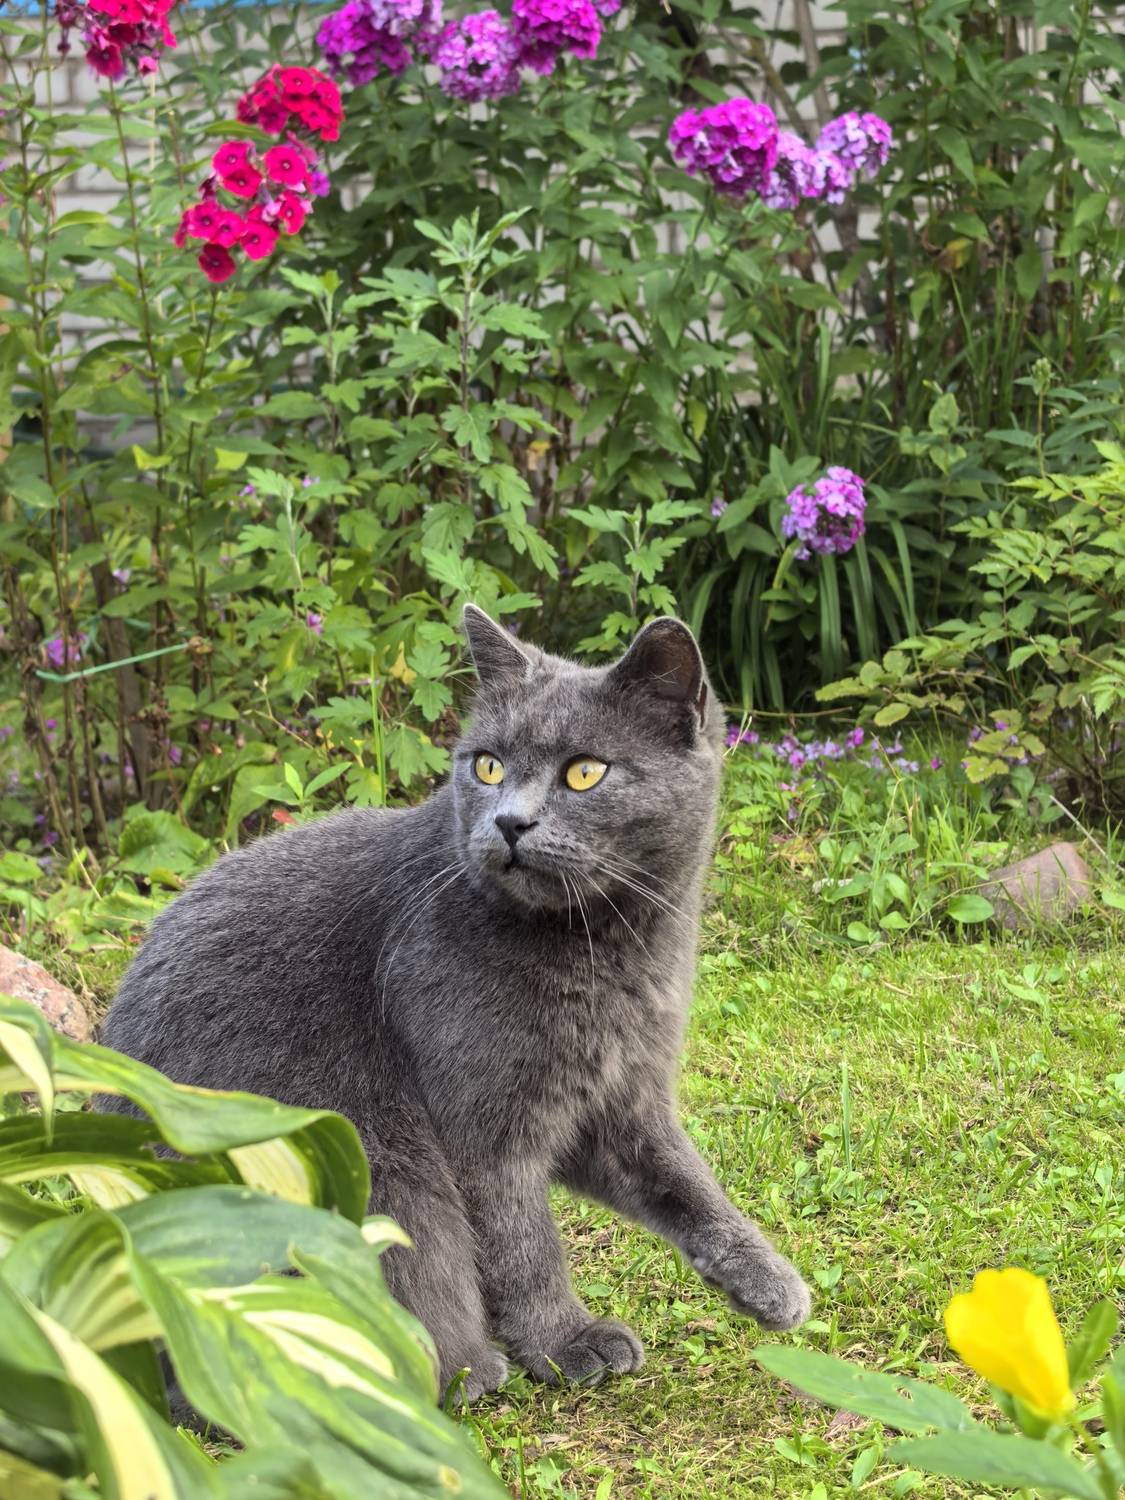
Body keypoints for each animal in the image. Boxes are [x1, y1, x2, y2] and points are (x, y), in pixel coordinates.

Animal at [102, 606, 811, 1399]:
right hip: (371, 1162)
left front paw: (768, 1282)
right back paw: (463, 1371)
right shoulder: (481, 1124)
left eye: (584, 772)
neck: (607, 950)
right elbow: (521, 1242)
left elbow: (684, 1180)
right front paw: (564, 1341)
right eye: (488, 765)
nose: (508, 822)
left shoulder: (620, 1091)